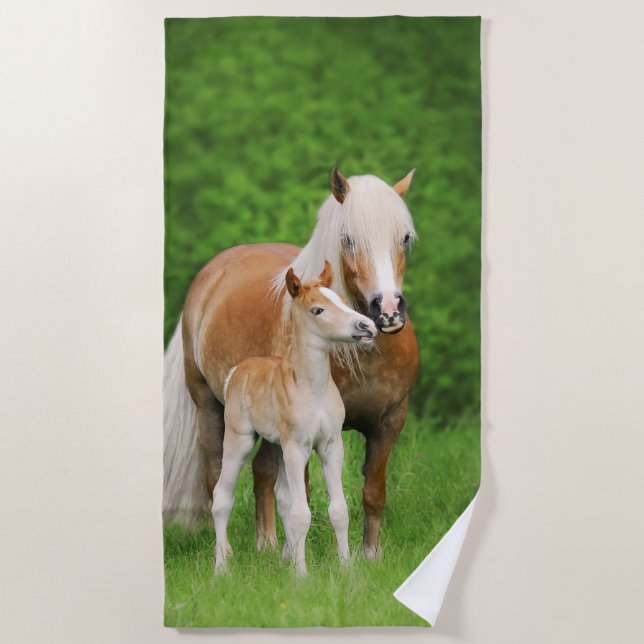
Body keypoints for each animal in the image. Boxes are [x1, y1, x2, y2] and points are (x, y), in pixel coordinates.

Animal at [213, 262, 378, 576]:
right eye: (318, 310)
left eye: (341, 300)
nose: (368, 327)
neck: (313, 389)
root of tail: (238, 371)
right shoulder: (296, 448)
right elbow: (302, 513)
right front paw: (301, 575)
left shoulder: (331, 445)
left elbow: (338, 510)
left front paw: (346, 568)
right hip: (240, 440)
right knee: (221, 498)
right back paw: (221, 568)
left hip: (277, 445)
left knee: (282, 497)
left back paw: (284, 559)